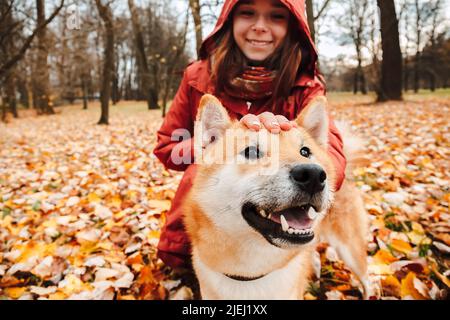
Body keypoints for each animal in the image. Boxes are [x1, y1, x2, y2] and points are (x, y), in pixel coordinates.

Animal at [183, 94, 370, 298]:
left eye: (305, 151)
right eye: (251, 151)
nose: (313, 175)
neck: (249, 277)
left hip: (350, 250)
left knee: (368, 279)